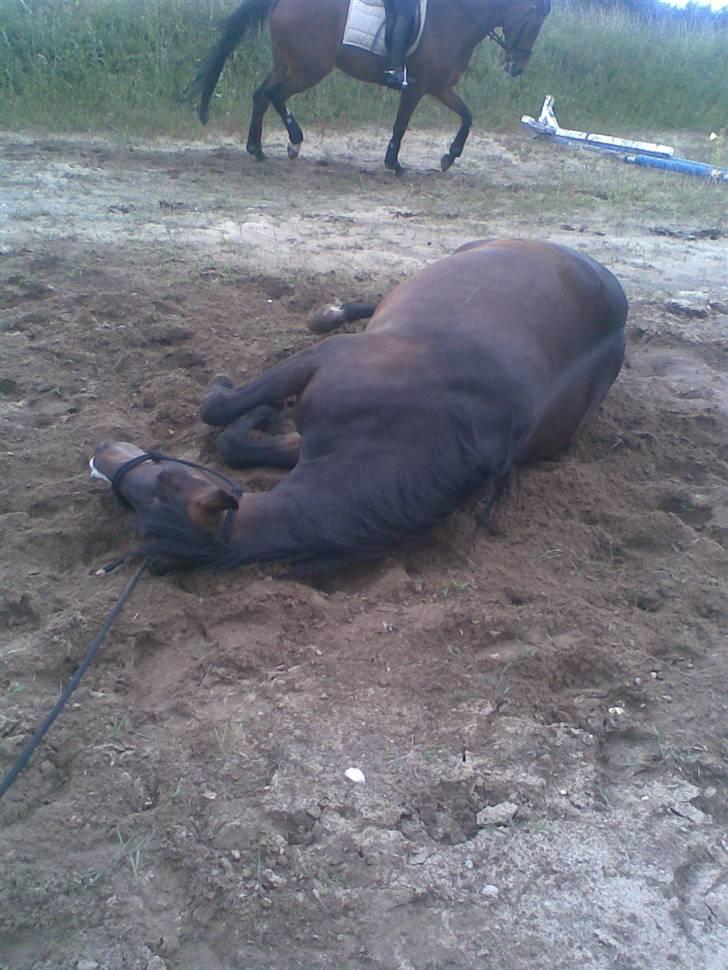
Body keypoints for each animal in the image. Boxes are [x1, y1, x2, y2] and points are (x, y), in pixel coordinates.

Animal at [89, 240, 624, 576]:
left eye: (161, 481)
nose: (102, 454)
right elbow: (237, 442)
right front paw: (265, 414)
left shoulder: (326, 363)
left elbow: (220, 416)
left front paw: (242, 401)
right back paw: (330, 312)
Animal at [188, 0, 552, 172]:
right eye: (534, 21)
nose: (517, 67)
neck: (455, 20)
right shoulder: (417, 87)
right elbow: (401, 125)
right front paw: (395, 164)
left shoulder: (440, 87)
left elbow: (468, 116)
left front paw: (449, 157)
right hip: (309, 69)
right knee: (274, 94)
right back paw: (294, 142)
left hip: (287, 64)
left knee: (261, 95)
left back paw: (257, 149)